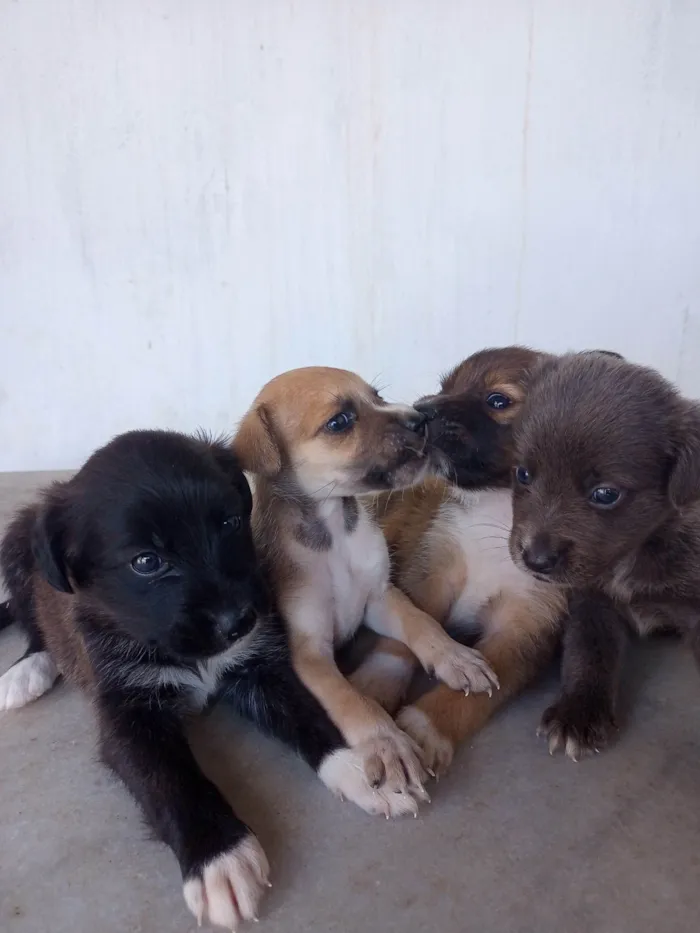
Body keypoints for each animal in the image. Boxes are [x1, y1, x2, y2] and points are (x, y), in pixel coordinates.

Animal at [0, 428, 408, 924]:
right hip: (15, 546)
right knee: (32, 620)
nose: (239, 621)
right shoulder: (129, 714)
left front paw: (361, 769)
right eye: (146, 562)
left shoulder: (259, 669)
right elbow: (171, 779)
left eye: (231, 523)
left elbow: (309, 718)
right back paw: (26, 670)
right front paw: (220, 858)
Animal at [234, 368, 498, 812]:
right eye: (339, 422)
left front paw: (455, 657)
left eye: (378, 396)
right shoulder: (309, 651)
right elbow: (350, 700)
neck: (336, 530)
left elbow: (421, 623)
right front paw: (387, 743)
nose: (420, 418)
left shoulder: (379, 598)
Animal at [508, 354, 700, 760]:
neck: (634, 552)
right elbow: (588, 651)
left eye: (605, 494)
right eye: (523, 474)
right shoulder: (591, 599)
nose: (536, 559)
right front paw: (579, 712)